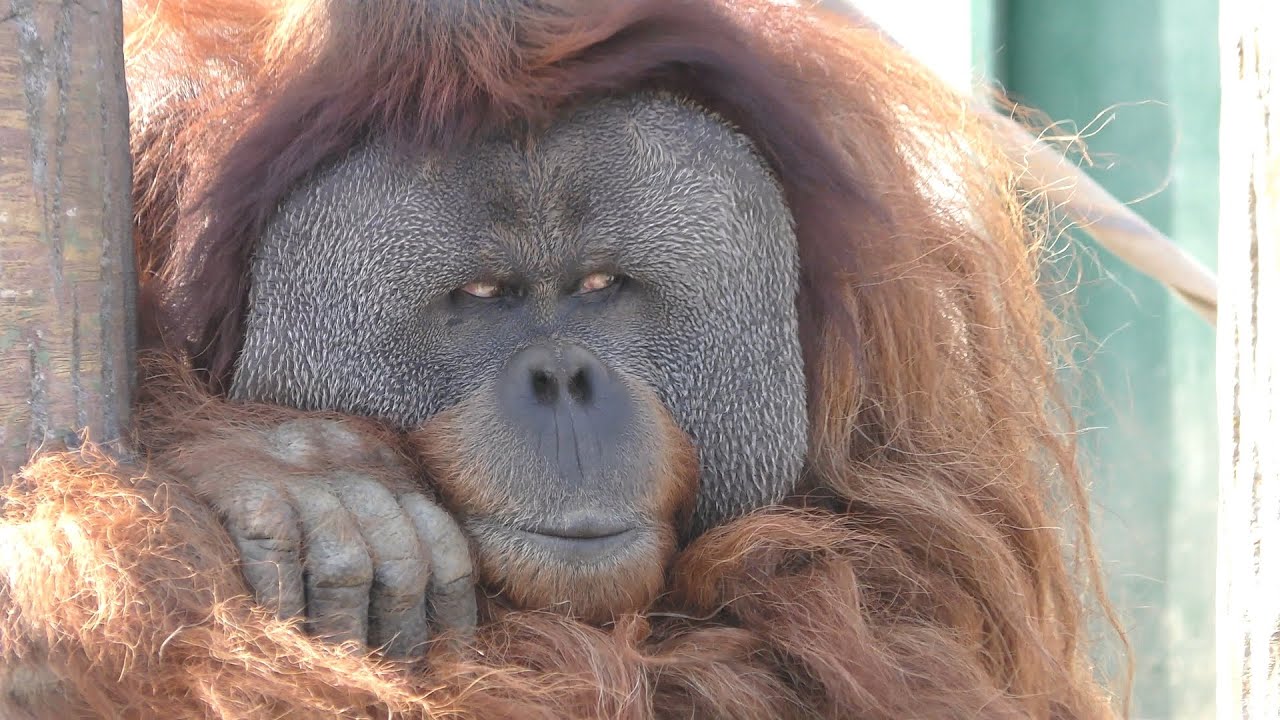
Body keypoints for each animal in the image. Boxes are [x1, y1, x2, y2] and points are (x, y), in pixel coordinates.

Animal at [0, 0, 1126, 717]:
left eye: (598, 286)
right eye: (483, 298)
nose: (561, 379)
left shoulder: (890, 258)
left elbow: (872, 633)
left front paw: (271, 480)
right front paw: (291, 473)